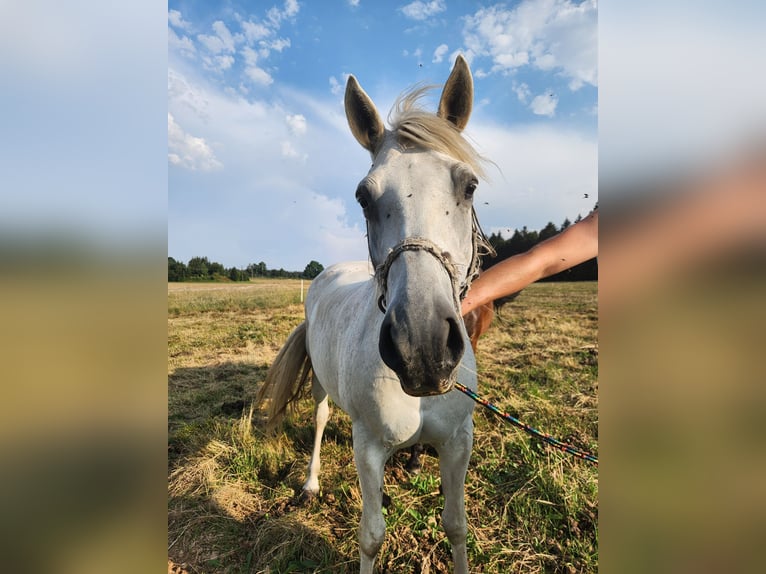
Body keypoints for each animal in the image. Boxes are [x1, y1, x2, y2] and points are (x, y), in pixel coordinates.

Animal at [256, 55, 492, 574]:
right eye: (363, 197)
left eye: (469, 186)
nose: (422, 347)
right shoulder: (368, 448)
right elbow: (371, 536)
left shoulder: (457, 442)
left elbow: (456, 526)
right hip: (321, 386)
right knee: (321, 419)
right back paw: (310, 484)